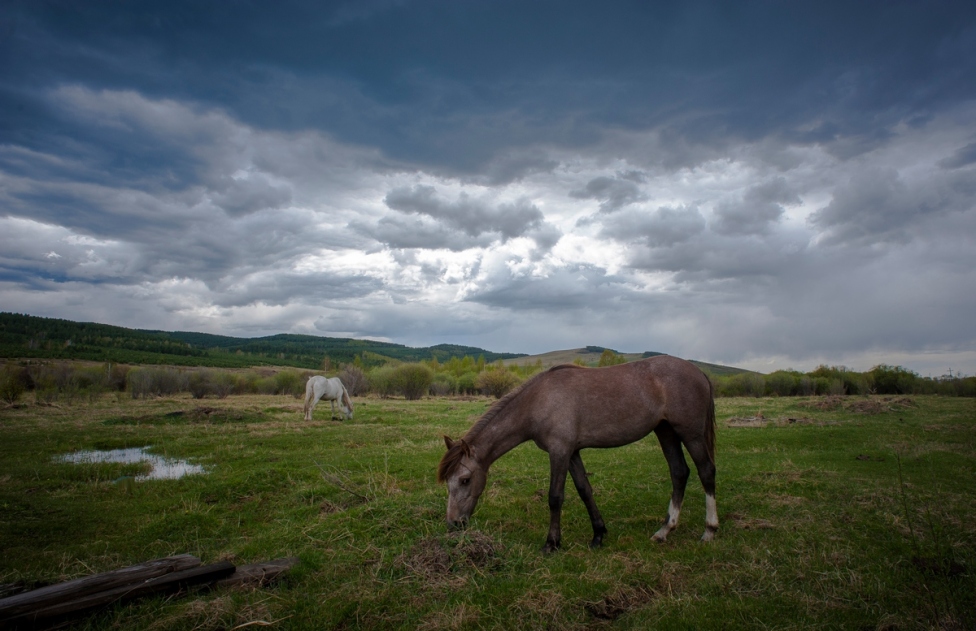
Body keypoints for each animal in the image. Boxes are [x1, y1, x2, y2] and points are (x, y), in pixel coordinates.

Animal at [440, 356, 716, 552]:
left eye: (465, 480)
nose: (454, 524)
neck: (539, 401)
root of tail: (699, 372)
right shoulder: (572, 453)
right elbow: (585, 490)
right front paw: (598, 535)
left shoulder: (560, 451)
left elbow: (555, 497)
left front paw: (552, 543)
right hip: (666, 431)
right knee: (679, 472)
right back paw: (664, 531)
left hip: (690, 433)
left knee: (706, 471)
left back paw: (709, 531)